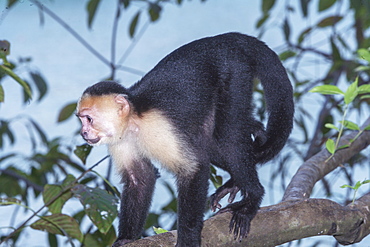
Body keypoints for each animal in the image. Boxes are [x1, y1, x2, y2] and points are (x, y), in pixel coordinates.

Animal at [76, 32, 294, 247]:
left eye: (89, 119)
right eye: (81, 119)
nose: (83, 133)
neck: (133, 122)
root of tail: (225, 39)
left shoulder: (158, 127)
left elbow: (193, 168)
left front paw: (188, 237)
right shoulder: (120, 140)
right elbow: (139, 178)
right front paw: (126, 238)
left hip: (235, 72)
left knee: (227, 137)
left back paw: (252, 198)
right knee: (210, 143)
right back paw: (239, 172)